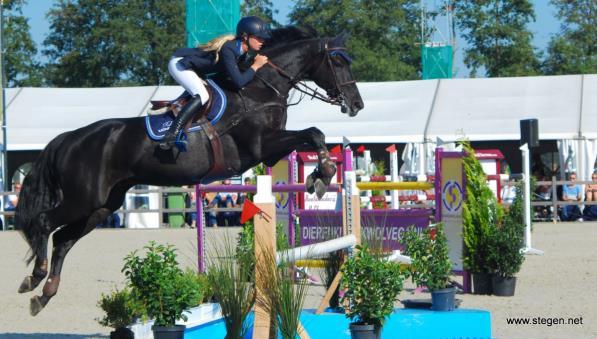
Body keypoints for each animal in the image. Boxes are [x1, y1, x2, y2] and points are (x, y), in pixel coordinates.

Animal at [16, 25, 364, 316]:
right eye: (338, 61)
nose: (357, 105)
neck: (258, 89)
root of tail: (70, 138)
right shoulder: (261, 147)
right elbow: (314, 132)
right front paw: (324, 173)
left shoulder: (272, 150)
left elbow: (313, 134)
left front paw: (320, 175)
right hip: (83, 199)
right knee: (45, 223)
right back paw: (35, 278)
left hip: (102, 206)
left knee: (63, 239)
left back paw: (43, 293)